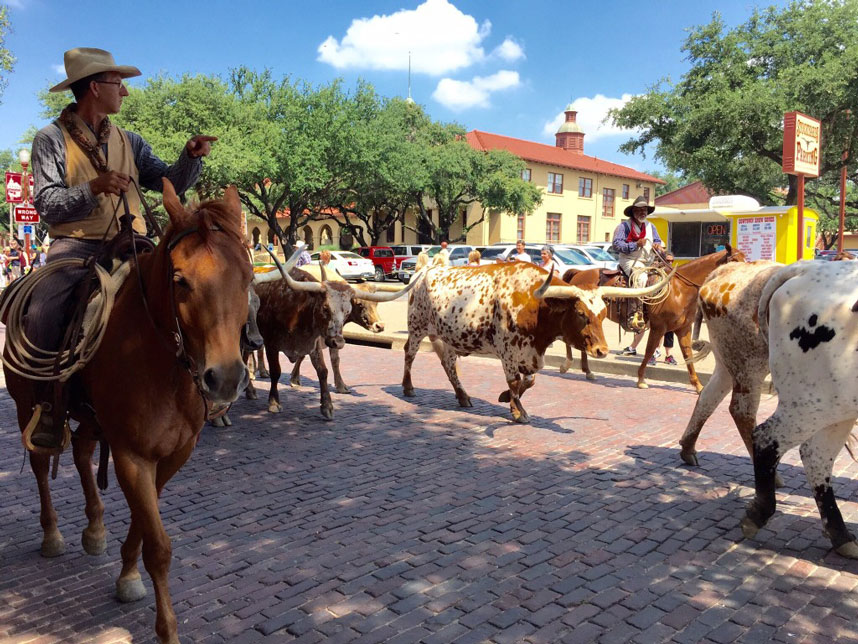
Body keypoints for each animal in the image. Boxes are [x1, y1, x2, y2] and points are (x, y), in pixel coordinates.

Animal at [4, 177, 251, 644]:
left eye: (247, 278)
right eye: (180, 280)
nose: (225, 378)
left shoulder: (172, 455)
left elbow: (143, 522)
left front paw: (126, 575)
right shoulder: (131, 455)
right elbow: (158, 545)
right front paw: (166, 629)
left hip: (89, 420)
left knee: (82, 453)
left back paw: (95, 529)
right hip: (27, 406)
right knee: (42, 464)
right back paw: (52, 534)